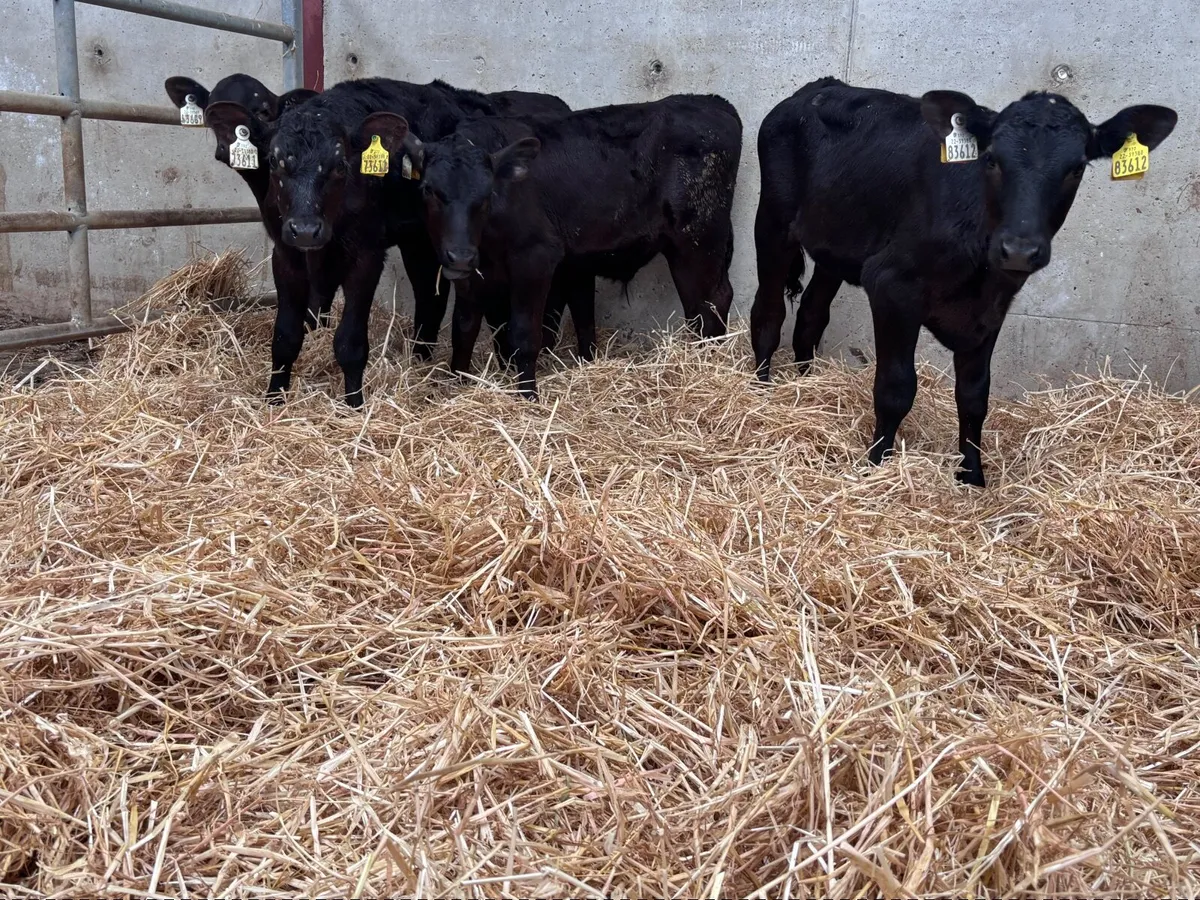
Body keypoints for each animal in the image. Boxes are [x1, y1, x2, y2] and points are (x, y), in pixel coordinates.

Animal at [200, 78, 572, 406]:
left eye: (340, 165)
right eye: (276, 162)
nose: (306, 229)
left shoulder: (366, 254)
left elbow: (350, 343)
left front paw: (354, 404)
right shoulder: (286, 253)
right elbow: (285, 335)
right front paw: (274, 399)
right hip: (420, 243)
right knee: (431, 300)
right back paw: (423, 358)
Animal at [400, 94, 743, 398]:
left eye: (487, 194)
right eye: (428, 189)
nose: (460, 255)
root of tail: (714, 102)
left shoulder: (536, 258)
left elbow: (524, 334)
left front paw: (528, 398)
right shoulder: (472, 273)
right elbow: (463, 329)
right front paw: (455, 388)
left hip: (698, 239)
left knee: (711, 302)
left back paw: (710, 361)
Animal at [750, 78, 1177, 487]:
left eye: (1077, 168)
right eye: (991, 159)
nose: (1019, 249)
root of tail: (818, 88)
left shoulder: (991, 310)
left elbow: (974, 396)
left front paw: (972, 475)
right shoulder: (891, 286)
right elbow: (895, 389)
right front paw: (875, 467)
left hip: (834, 247)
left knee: (811, 316)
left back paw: (806, 387)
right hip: (772, 220)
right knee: (768, 314)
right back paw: (761, 392)